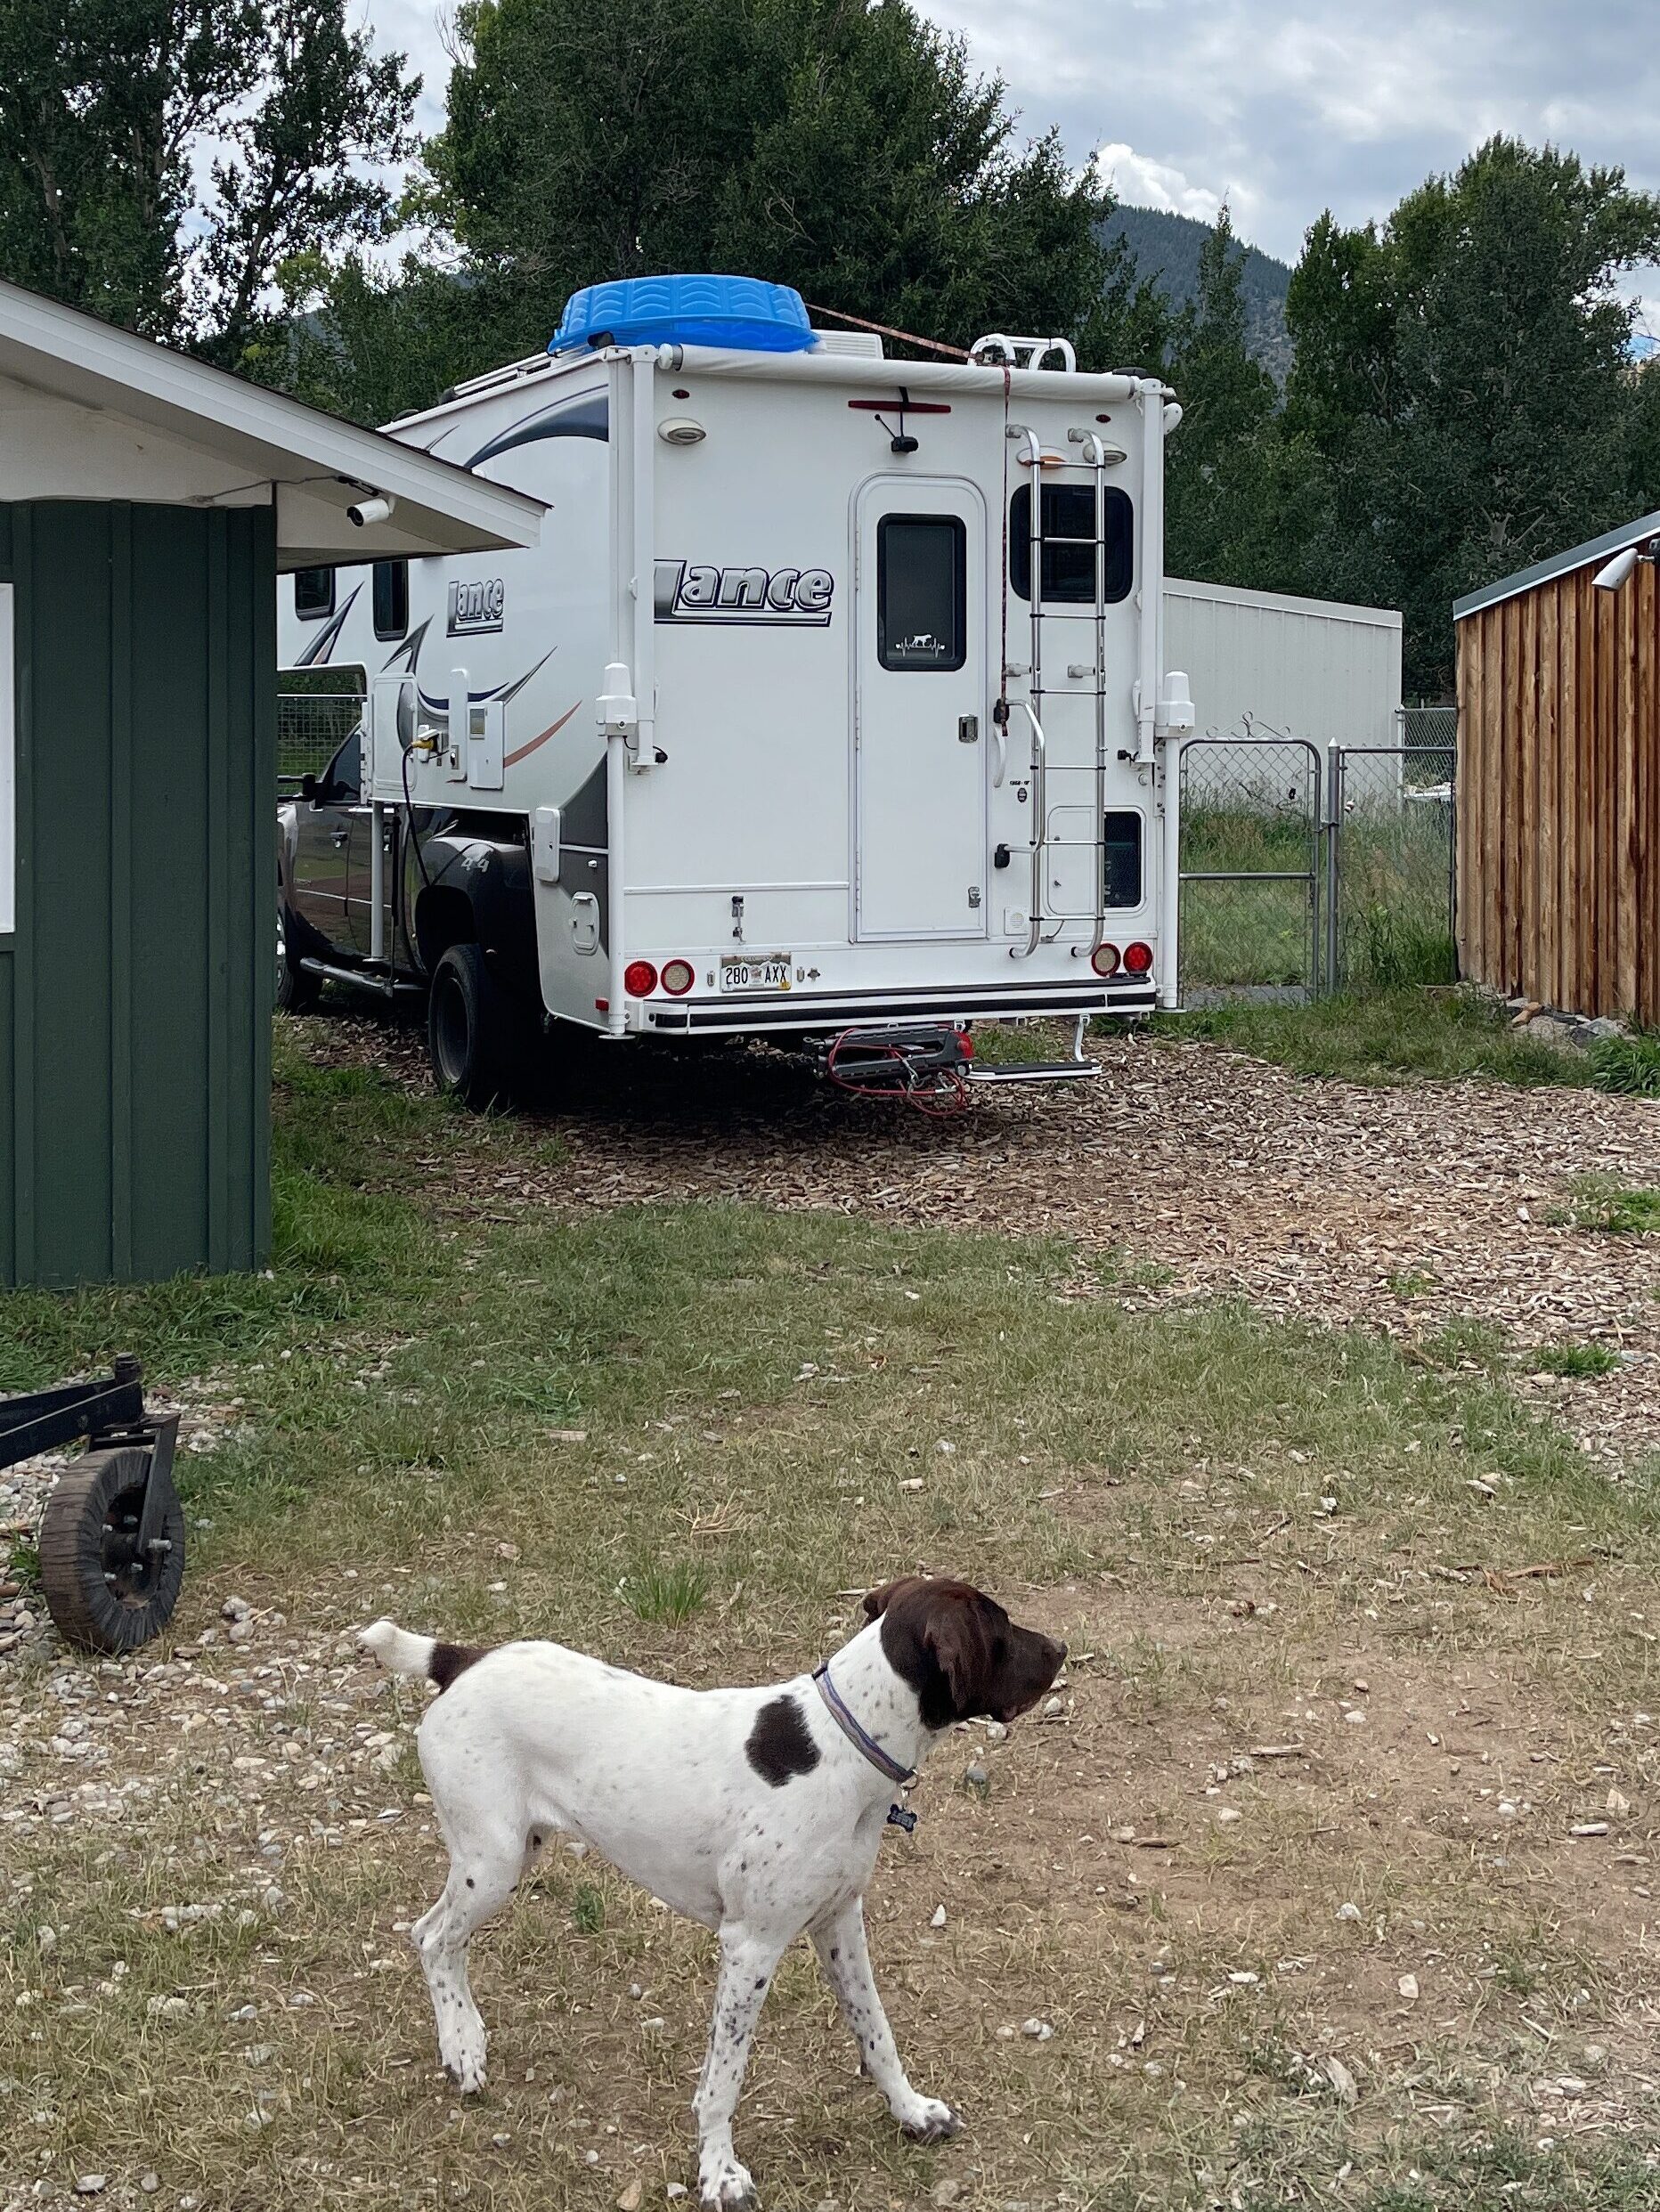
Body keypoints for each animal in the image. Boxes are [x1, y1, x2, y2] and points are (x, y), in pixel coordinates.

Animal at [362, 1583, 1066, 2203]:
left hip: (515, 1850)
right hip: (494, 1861)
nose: (1061, 1648)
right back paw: (463, 2048)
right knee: (432, 1938)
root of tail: (463, 1659)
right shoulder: (751, 1946)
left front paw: (912, 2111)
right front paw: (720, 2174)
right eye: (1000, 1629)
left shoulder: (839, 1921)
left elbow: (877, 2032)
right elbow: (722, 2081)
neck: (845, 1742)